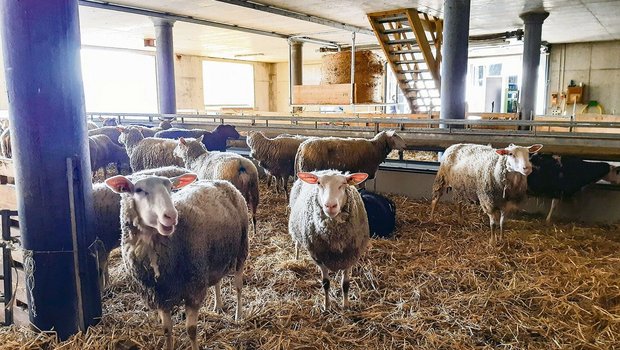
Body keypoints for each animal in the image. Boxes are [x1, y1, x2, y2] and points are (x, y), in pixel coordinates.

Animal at [106, 173, 249, 350]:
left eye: (171, 188)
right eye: (138, 190)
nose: (171, 216)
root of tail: (221, 181)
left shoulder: (194, 289)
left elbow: (191, 330)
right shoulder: (160, 295)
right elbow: (167, 330)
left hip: (242, 247)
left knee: (238, 287)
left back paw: (238, 314)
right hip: (214, 256)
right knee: (217, 281)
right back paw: (218, 306)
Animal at [290, 170, 370, 308]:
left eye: (344, 184)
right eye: (318, 183)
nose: (330, 205)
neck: (335, 238)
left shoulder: (349, 257)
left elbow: (345, 284)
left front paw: (345, 305)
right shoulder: (320, 257)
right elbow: (326, 283)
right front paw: (326, 306)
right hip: (296, 228)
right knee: (297, 244)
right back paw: (296, 258)